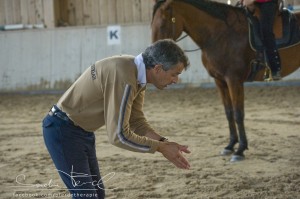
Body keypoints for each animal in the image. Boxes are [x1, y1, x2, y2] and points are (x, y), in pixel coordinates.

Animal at [152, 0, 300, 162]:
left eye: (163, 23)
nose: (153, 56)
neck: (220, 35)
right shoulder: (220, 81)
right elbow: (228, 113)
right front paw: (230, 146)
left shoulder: (234, 80)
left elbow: (238, 114)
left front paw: (240, 150)